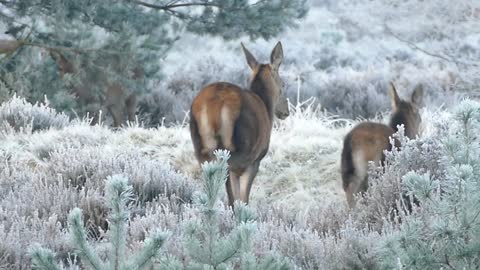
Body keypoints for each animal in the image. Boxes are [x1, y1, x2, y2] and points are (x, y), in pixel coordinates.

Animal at [190, 41, 288, 207]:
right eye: (283, 85)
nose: (286, 111)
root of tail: (216, 104)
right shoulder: (254, 161)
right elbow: (243, 198)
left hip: (201, 150)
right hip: (238, 151)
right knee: (230, 196)